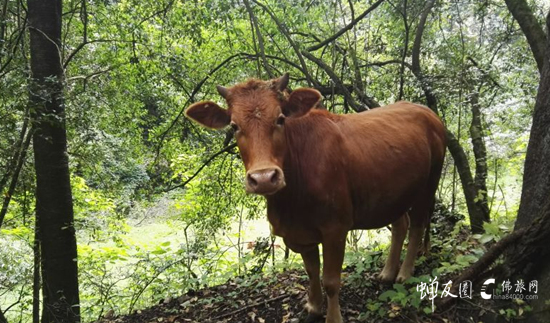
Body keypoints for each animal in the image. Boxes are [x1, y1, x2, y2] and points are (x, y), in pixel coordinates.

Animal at [185, 74, 448, 323]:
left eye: (280, 119)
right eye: (234, 126)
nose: (264, 178)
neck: (290, 204)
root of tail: (426, 111)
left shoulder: (335, 228)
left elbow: (330, 280)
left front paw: (333, 317)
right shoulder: (300, 233)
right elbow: (311, 271)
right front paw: (313, 307)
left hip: (429, 183)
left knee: (417, 225)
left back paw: (404, 273)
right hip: (393, 194)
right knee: (400, 224)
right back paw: (387, 273)